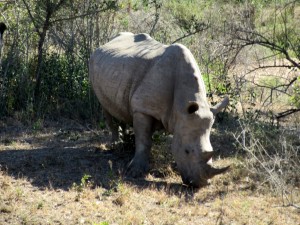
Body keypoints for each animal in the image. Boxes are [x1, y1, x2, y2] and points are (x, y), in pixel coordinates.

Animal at [89, 32, 230, 187]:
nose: (199, 184)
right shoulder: (142, 109)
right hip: (93, 63)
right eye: (187, 151)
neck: (181, 108)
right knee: (105, 106)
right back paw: (115, 144)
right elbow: (144, 140)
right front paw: (135, 171)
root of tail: (104, 44)